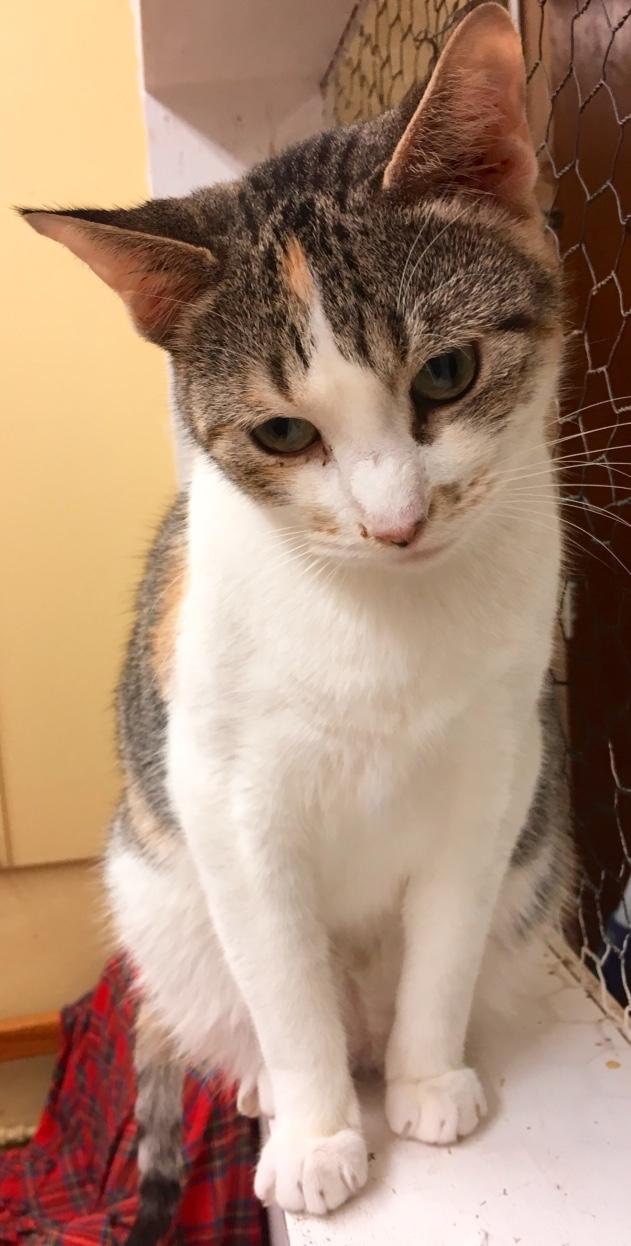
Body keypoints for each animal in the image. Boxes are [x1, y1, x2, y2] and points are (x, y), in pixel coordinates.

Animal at [23, 4, 571, 1236]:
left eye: (448, 372)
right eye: (283, 433)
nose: (395, 520)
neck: (387, 619)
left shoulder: (496, 770)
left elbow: (443, 948)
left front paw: (426, 1081)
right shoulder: (227, 799)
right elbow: (283, 982)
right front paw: (321, 1137)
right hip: (155, 890)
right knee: (241, 1006)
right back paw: (274, 1087)